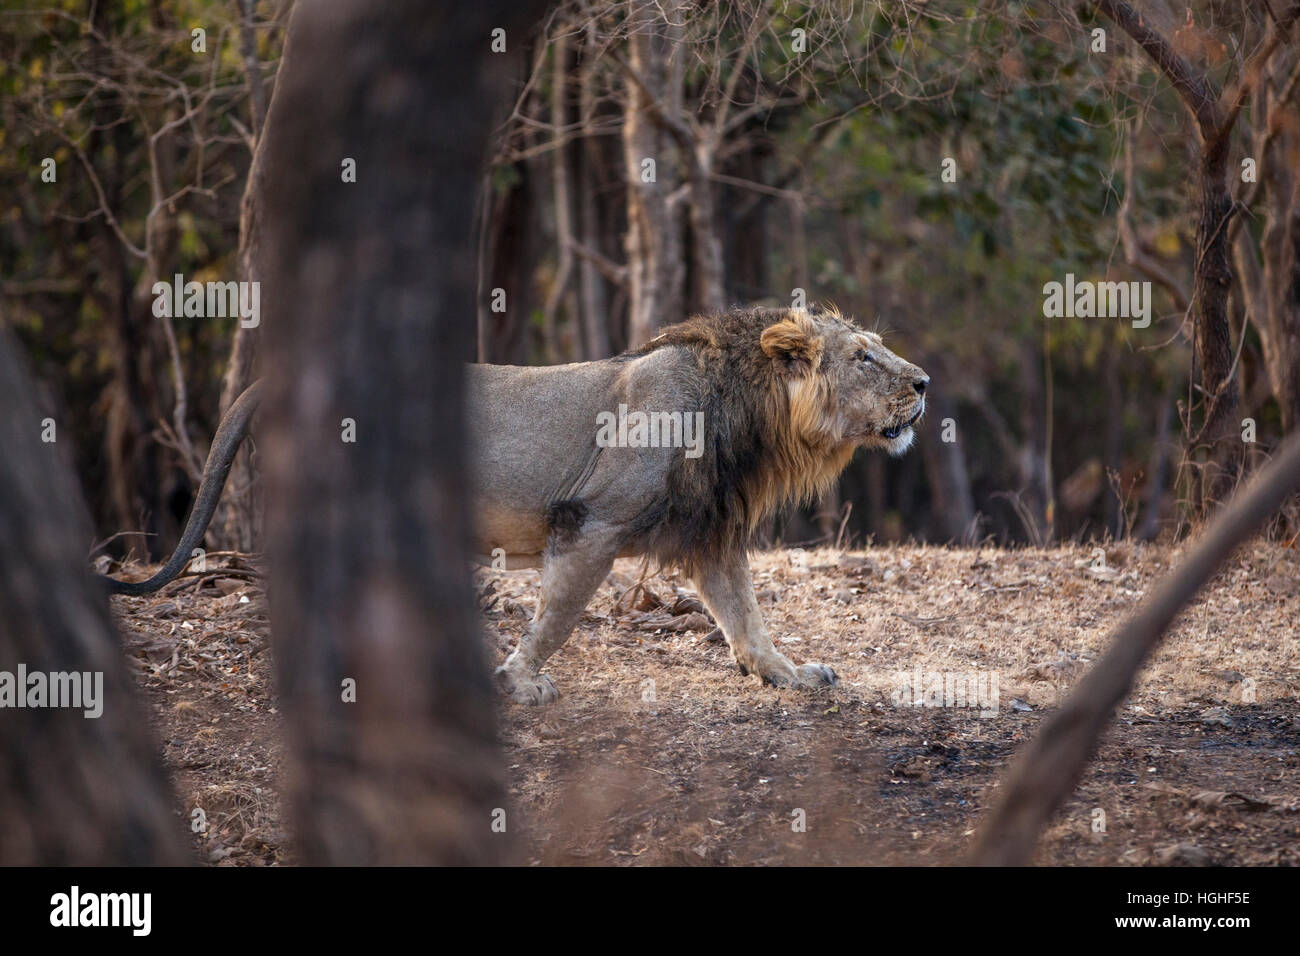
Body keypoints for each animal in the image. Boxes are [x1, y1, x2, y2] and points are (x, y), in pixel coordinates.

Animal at [106, 304, 930, 702]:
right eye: (864, 356)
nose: (924, 382)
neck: (748, 413)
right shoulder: (592, 521)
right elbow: (559, 617)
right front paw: (519, 680)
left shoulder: (711, 534)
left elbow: (747, 618)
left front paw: (792, 675)